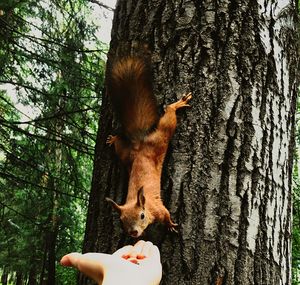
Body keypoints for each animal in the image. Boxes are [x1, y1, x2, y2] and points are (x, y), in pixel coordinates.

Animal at [105, 56, 192, 237]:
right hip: (127, 155)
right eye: (122, 220)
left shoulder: (157, 208)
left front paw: (170, 225)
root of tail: (140, 146)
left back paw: (177, 105)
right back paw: (113, 139)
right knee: (120, 147)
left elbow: (166, 214)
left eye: (142, 216)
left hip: (161, 137)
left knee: (169, 116)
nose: (133, 233)